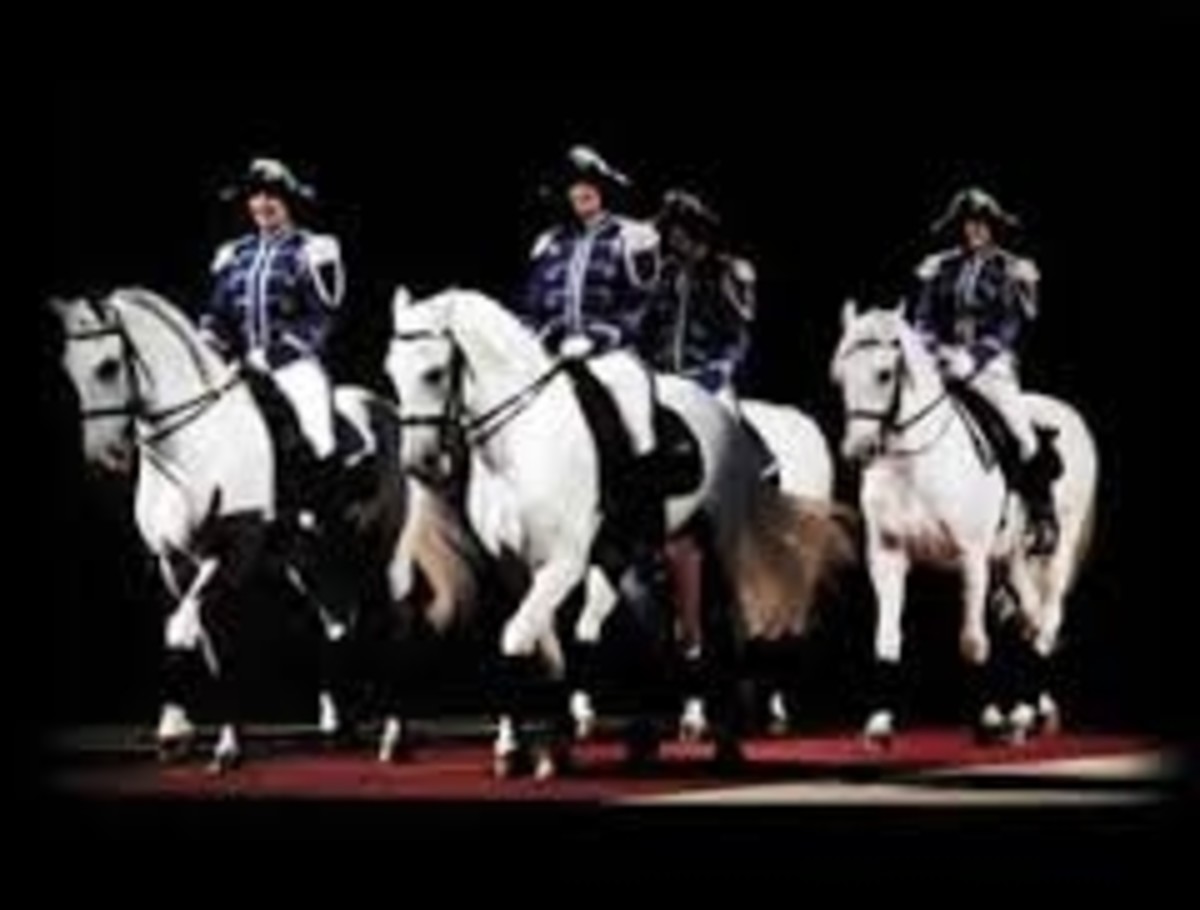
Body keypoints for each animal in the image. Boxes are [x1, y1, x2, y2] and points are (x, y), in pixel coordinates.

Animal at [50, 288, 413, 771]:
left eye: (107, 366)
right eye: (68, 367)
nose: (102, 459)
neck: (192, 447)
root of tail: (383, 407)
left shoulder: (227, 555)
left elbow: (181, 629)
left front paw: (182, 736)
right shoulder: (174, 561)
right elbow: (208, 641)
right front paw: (209, 738)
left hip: (376, 548)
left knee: (391, 623)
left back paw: (394, 737)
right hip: (312, 556)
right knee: (337, 621)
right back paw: (338, 727)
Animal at [386, 286, 798, 777]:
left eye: (432, 373)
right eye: (390, 373)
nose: (419, 464)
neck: (521, 444)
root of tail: (725, 412)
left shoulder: (563, 564)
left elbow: (515, 638)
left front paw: (530, 749)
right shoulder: (515, 566)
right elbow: (545, 650)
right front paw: (525, 746)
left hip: (718, 547)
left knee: (718, 629)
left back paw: (726, 742)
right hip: (653, 552)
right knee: (639, 632)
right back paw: (643, 739)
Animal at [829, 300, 1098, 745]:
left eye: (884, 374)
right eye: (839, 376)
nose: (857, 450)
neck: (915, 463)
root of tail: (1068, 413)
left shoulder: (970, 557)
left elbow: (972, 642)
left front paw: (987, 721)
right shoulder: (887, 554)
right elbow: (887, 637)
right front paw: (880, 725)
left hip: (1057, 551)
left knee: (1047, 619)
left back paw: (1028, 714)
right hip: (1012, 560)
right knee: (1029, 620)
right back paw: (1027, 713)